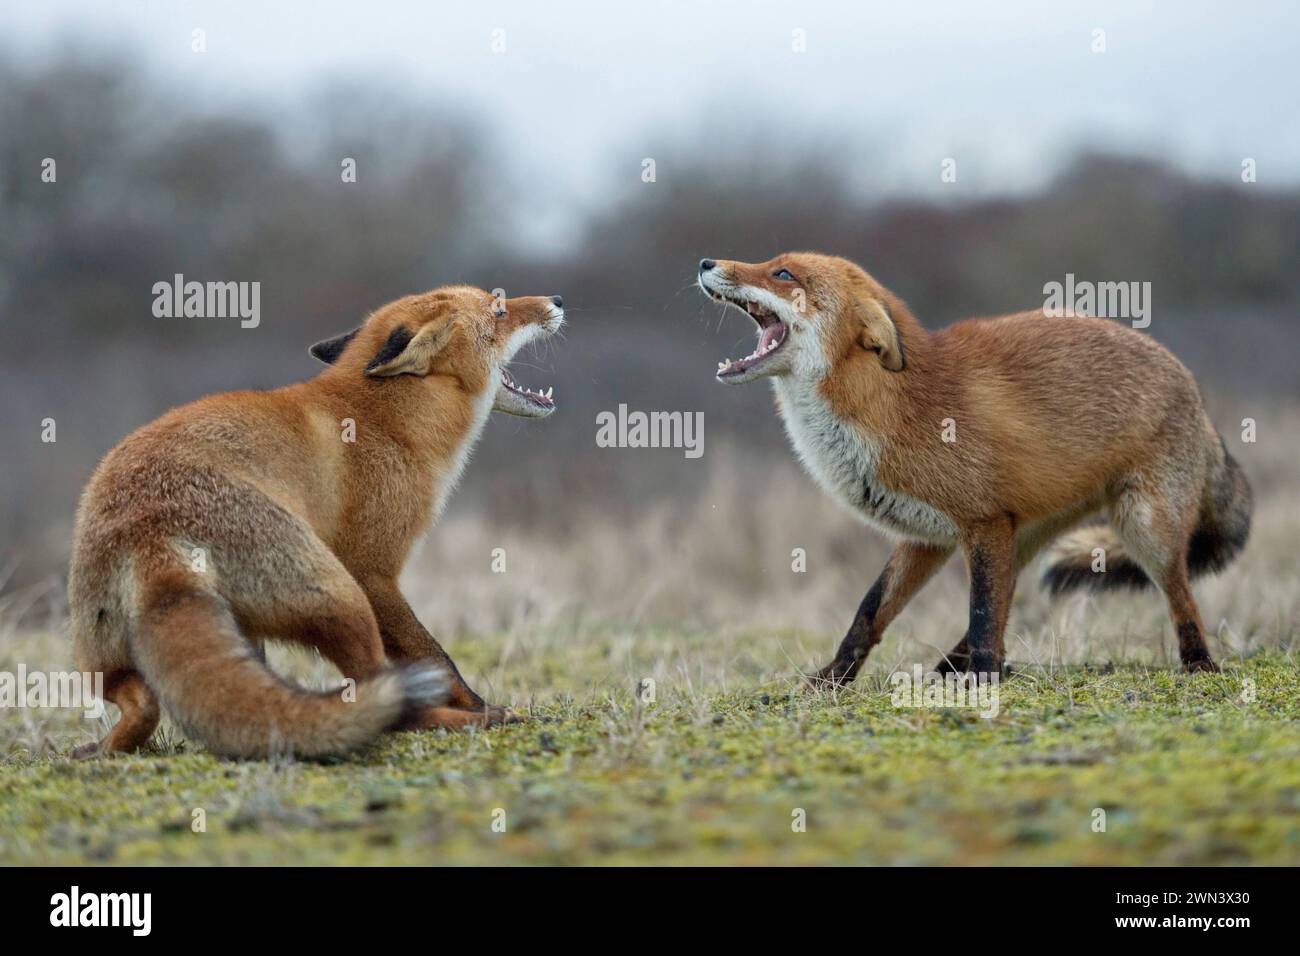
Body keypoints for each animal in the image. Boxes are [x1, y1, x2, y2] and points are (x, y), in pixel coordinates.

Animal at [67, 283, 564, 754]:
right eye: (498, 309)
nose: (557, 300)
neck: (392, 422)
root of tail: (148, 527)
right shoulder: (373, 571)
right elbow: (437, 657)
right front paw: (481, 706)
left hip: (109, 657)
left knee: (141, 703)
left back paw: (104, 749)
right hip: (341, 595)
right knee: (382, 696)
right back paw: (467, 720)